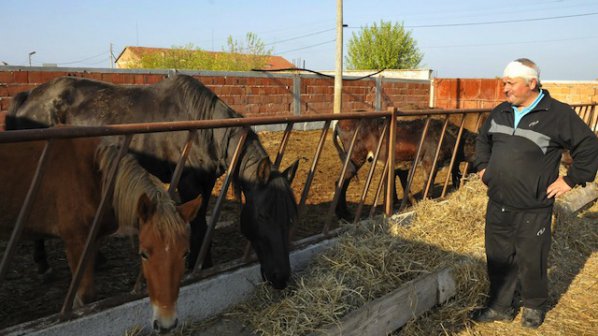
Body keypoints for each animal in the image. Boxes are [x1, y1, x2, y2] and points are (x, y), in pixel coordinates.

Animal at [0, 139, 203, 334]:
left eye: (185, 253)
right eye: (143, 254)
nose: (166, 324)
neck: (95, 177)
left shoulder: (93, 239)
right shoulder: (76, 242)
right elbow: (85, 295)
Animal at [7, 75, 300, 290]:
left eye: (291, 216)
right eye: (262, 215)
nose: (281, 278)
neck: (204, 128)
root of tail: (26, 98)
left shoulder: (205, 183)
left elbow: (203, 224)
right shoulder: (188, 182)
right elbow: (198, 224)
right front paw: (199, 265)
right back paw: (43, 265)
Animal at [332, 117, 478, 219]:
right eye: (473, 144)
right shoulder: (430, 163)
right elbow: (428, 185)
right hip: (355, 158)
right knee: (341, 181)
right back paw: (344, 214)